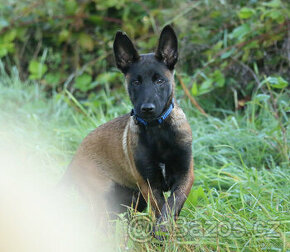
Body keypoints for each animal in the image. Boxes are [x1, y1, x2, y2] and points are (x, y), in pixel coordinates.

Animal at [65, 25, 194, 232]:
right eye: (136, 82)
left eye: (159, 81)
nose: (147, 108)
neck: (158, 131)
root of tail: (75, 156)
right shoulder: (149, 183)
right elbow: (161, 207)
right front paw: (162, 234)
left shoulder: (185, 176)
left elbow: (172, 205)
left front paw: (165, 231)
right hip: (105, 197)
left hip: (133, 199)